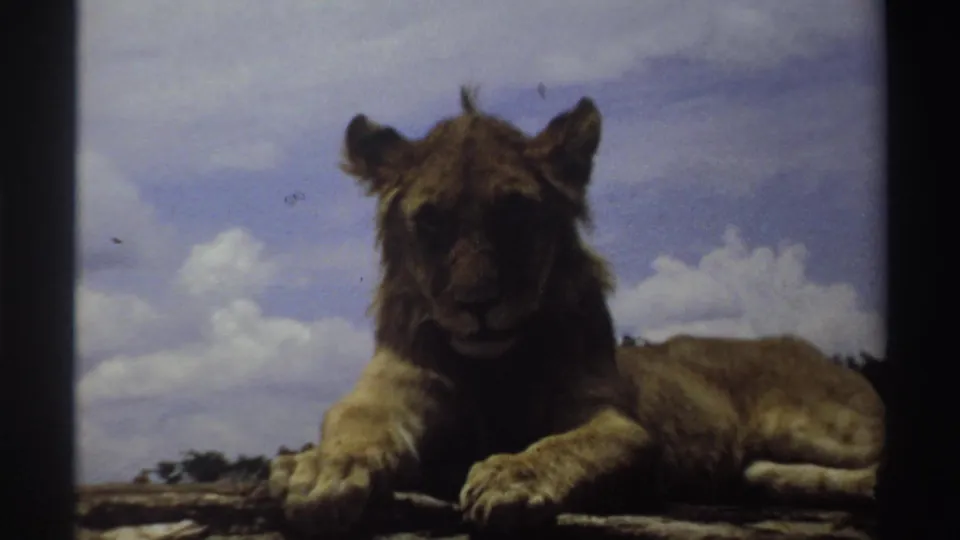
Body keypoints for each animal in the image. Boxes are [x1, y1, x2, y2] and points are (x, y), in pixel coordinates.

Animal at [268, 87, 884, 535]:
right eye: (431, 222)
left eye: (516, 214)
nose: (477, 305)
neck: (491, 366)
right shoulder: (388, 392)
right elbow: (356, 426)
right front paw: (320, 468)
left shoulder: (614, 421)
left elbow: (569, 445)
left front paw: (511, 475)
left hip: (814, 423)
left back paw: (771, 474)